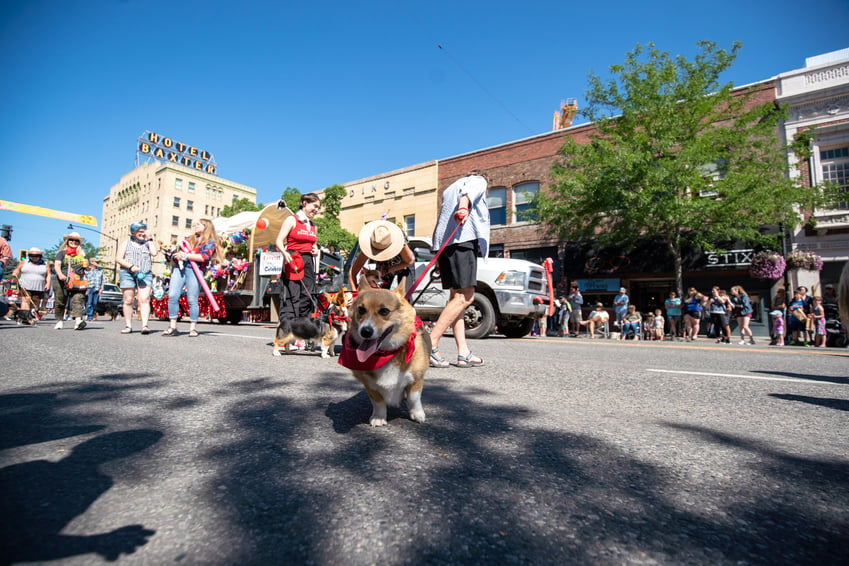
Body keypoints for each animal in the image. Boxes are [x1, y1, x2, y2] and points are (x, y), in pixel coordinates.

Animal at [338, 280, 430, 426]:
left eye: (384, 311)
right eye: (361, 309)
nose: (365, 331)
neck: (386, 354)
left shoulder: (416, 378)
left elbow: (413, 398)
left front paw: (417, 414)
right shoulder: (370, 386)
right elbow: (378, 402)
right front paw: (379, 417)